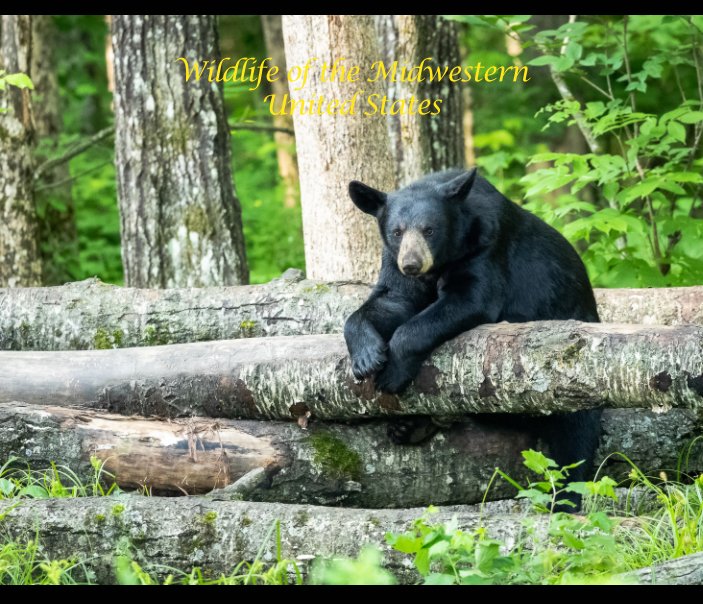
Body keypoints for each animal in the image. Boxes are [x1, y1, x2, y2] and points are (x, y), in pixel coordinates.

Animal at [344, 168, 604, 502]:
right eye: (397, 232)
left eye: (429, 229)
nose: (412, 264)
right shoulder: (393, 260)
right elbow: (392, 299)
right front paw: (367, 356)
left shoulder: (488, 247)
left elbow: (470, 299)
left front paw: (393, 372)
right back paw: (411, 426)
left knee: (575, 439)